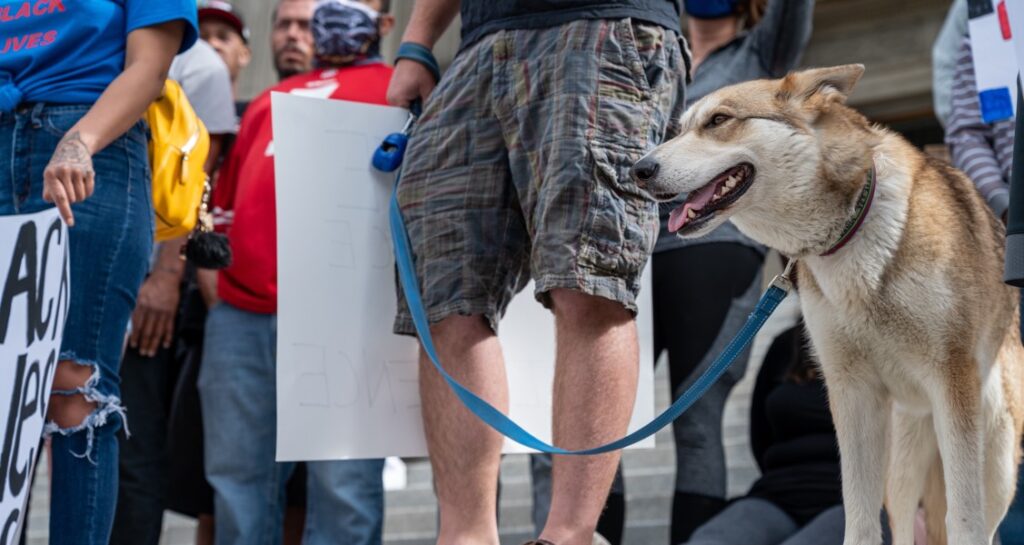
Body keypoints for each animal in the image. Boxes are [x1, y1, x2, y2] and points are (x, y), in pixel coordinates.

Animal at [630, 65, 1024, 545]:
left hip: (996, 451)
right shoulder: (851, 393)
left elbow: (964, 519)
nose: (638, 169)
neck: (853, 228)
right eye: (680, 129)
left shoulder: (952, 381)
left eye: (719, 120)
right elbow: (858, 521)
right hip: (902, 461)